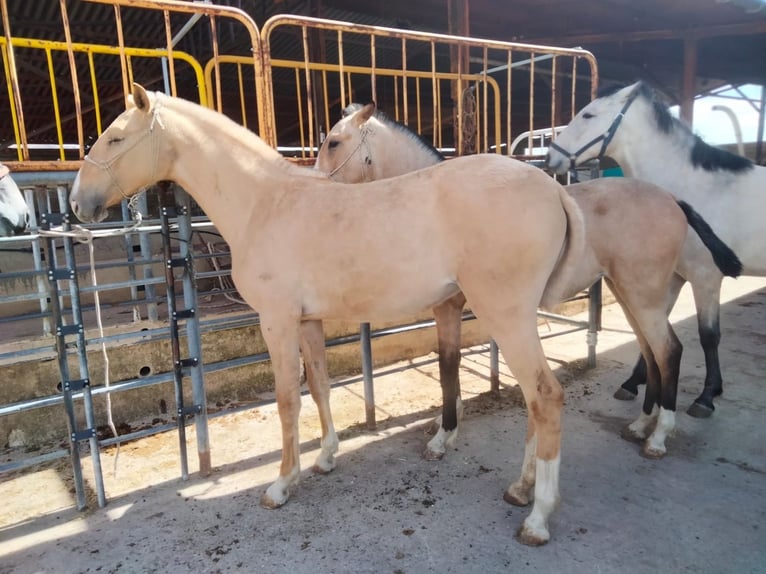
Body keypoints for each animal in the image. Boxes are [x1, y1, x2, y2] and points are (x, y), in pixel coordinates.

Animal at [72, 83, 588, 548]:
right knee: (533, 399)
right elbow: (318, 386)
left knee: (545, 397)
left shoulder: (277, 321)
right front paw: (324, 458)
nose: (78, 202)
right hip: (512, 318)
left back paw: (538, 518)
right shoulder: (307, 321)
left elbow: (286, 400)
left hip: (505, 314)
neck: (266, 204)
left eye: (116, 138)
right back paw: (521, 488)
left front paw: (281, 485)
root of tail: (550, 188)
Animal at [316, 103, 740, 462]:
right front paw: (449, 425)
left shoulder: (449, 306)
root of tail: (673, 199)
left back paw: (659, 436)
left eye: (333, 142)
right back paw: (640, 425)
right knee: (652, 353)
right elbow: (449, 362)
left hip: (645, 295)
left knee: (669, 351)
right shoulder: (449, 309)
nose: (318, 184)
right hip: (630, 294)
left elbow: (448, 366)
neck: (438, 208)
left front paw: (443, 436)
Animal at [544, 82, 756, 418]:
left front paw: (706, 397)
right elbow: (653, 332)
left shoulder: (705, 276)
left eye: (588, 114)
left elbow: (708, 336)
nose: (551, 157)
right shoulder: (673, 277)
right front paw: (636, 385)